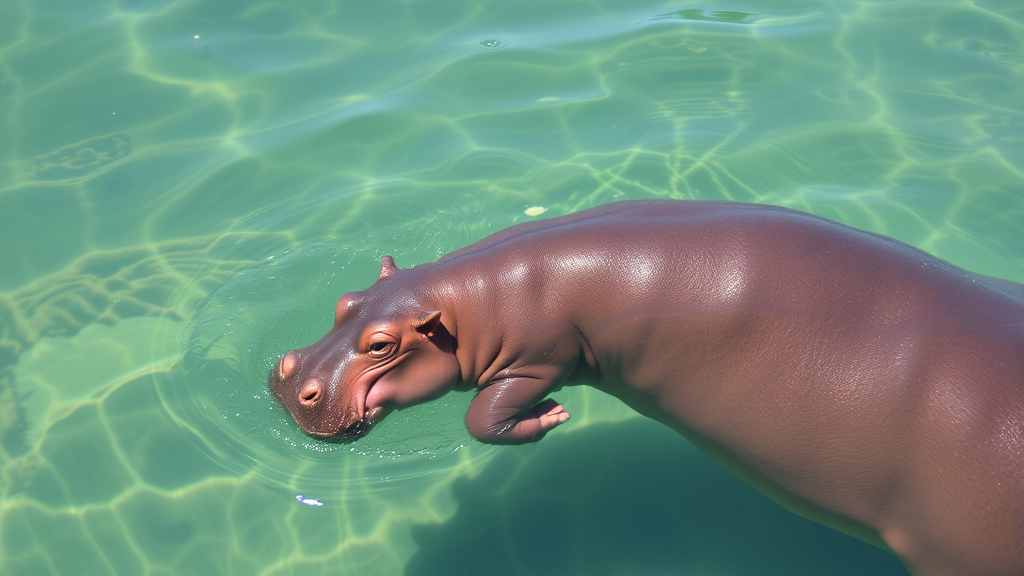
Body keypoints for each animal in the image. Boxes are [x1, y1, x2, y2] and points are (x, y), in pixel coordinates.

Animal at [270, 200, 1024, 576]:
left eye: (382, 345)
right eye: (343, 302)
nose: (293, 380)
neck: (476, 298)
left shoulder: (541, 352)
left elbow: (485, 415)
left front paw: (551, 416)